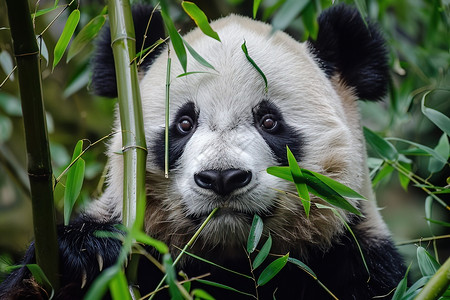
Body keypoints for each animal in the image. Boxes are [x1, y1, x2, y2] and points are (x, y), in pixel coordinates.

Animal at [0, 2, 406, 300]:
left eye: (269, 121)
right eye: (184, 123)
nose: (222, 178)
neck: (234, 260)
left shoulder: (357, 260)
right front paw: (87, 254)